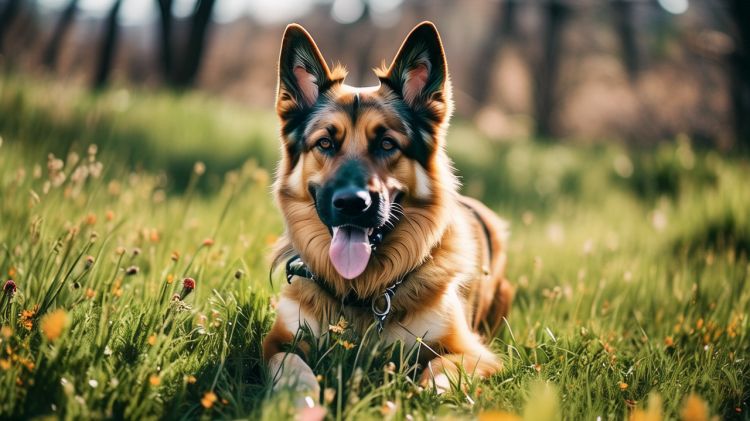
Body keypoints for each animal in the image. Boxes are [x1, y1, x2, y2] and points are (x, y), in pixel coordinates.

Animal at [262, 21, 516, 398]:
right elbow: (292, 365)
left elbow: (441, 369)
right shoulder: (277, 342)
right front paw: (302, 400)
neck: (362, 291)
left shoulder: (473, 352)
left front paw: (425, 396)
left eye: (386, 144)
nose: (352, 204)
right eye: (325, 143)